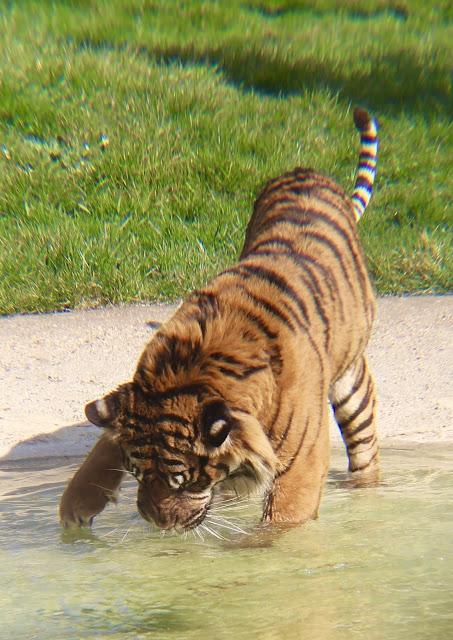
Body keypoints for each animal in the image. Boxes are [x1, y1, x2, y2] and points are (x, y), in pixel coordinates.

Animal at [60, 107, 378, 532]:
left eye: (183, 481)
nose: (159, 523)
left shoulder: (302, 462)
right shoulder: (134, 398)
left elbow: (281, 522)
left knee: (365, 437)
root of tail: (309, 171)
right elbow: (101, 450)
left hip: (350, 383)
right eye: (138, 474)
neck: (193, 365)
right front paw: (74, 510)